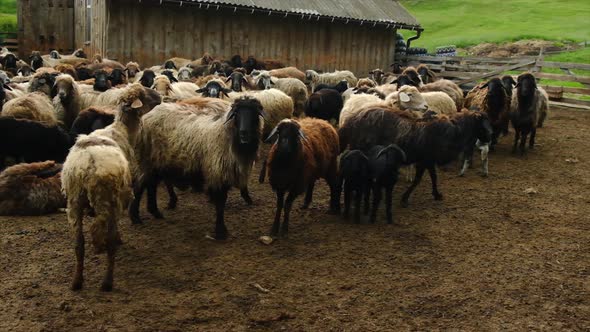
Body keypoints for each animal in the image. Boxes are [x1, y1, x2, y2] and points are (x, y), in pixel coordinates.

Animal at [132, 96, 268, 241]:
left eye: (255, 113)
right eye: (236, 113)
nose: (244, 133)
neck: (226, 135)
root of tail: (147, 115)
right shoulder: (217, 173)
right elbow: (220, 204)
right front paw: (220, 232)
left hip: (156, 164)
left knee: (151, 185)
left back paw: (155, 213)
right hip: (146, 161)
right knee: (140, 187)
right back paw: (136, 218)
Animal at [338, 106, 494, 206]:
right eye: (482, 123)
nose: (490, 137)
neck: (454, 133)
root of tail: (350, 121)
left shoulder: (429, 160)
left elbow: (433, 177)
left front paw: (436, 194)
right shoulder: (424, 160)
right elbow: (418, 180)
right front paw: (405, 198)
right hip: (359, 149)